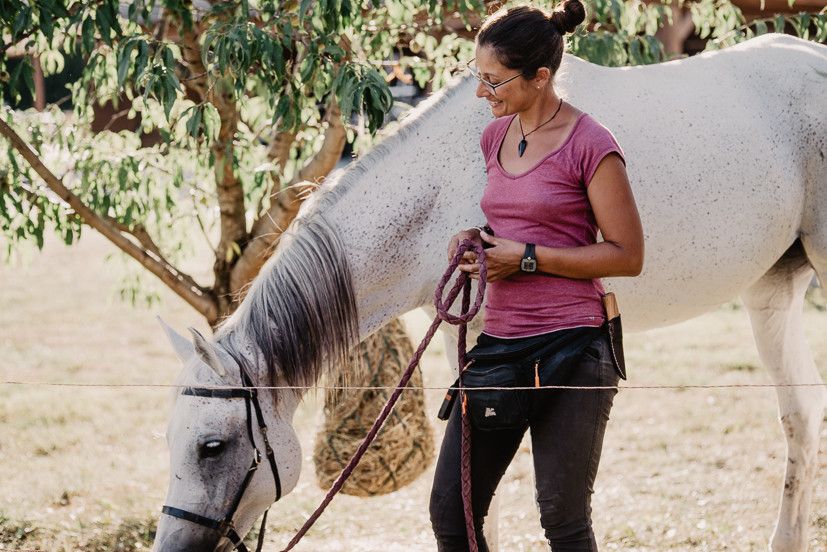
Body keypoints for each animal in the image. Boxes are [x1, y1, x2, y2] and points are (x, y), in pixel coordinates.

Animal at [151, 33, 827, 552]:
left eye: (212, 447)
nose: (170, 546)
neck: (436, 189)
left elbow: (482, 492)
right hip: (772, 294)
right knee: (800, 418)